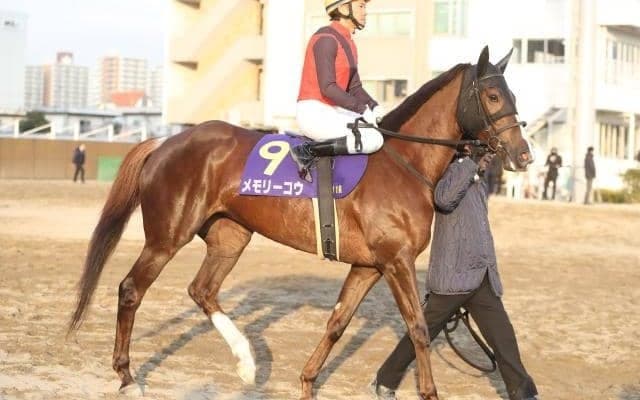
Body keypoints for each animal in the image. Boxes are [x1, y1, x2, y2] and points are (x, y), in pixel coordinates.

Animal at [68, 46, 532, 400]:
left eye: (513, 94)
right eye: (493, 96)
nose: (523, 153)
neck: (404, 163)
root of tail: (166, 141)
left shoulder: (368, 265)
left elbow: (337, 323)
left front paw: (307, 382)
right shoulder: (396, 262)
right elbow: (419, 328)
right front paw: (429, 392)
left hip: (230, 236)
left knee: (202, 290)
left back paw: (246, 364)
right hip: (167, 236)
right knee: (131, 289)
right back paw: (127, 376)